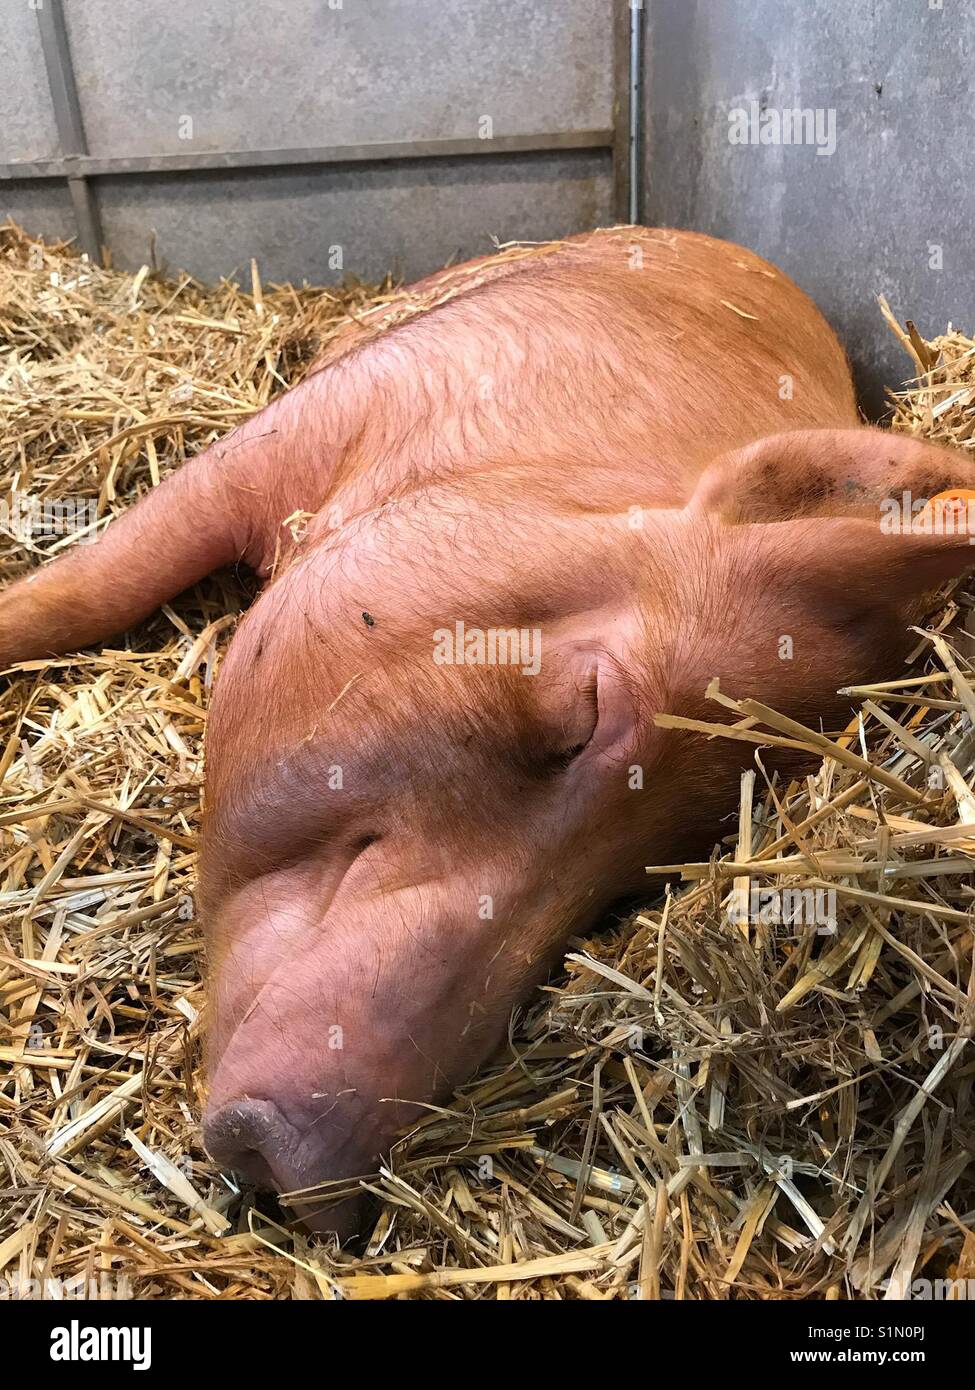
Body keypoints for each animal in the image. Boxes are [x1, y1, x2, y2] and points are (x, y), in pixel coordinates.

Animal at [3, 226, 972, 1237]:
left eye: (635, 888)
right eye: (584, 714)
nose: (308, 1170)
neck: (530, 465)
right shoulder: (316, 416)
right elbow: (92, 584)